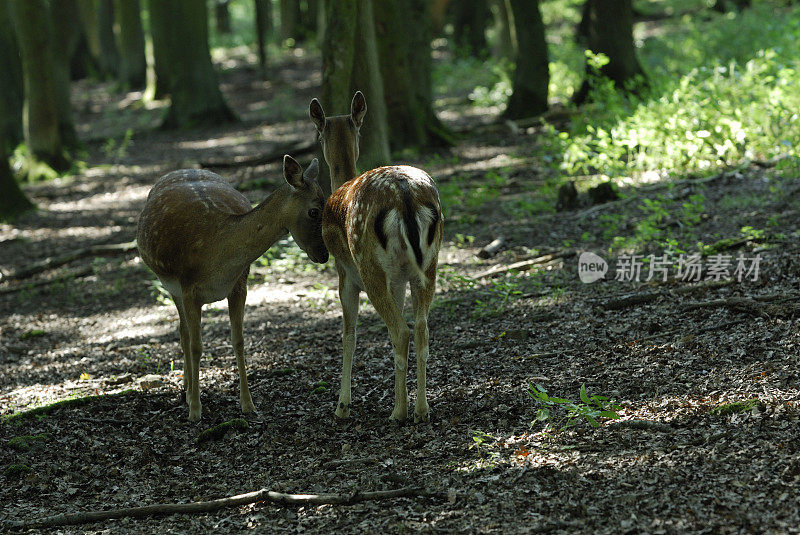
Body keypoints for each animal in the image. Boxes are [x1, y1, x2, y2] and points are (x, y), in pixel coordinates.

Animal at [138, 157, 328, 420]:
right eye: (313, 211)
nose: (324, 255)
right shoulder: (189, 290)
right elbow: (197, 346)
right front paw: (195, 410)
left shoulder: (240, 286)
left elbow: (238, 341)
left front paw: (248, 404)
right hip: (169, 285)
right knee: (183, 332)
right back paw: (188, 393)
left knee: (183, 330)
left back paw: (187, 388)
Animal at [310, 94, 444, 426]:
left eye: (318, 133)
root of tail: (404, 194)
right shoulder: (398, 279)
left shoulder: (345, 276)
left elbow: (349, 336)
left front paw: (342, 406)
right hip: (429, 264)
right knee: (420, 327)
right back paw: (421, 410)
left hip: (368, 266)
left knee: (401, 330)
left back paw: (398, 412)